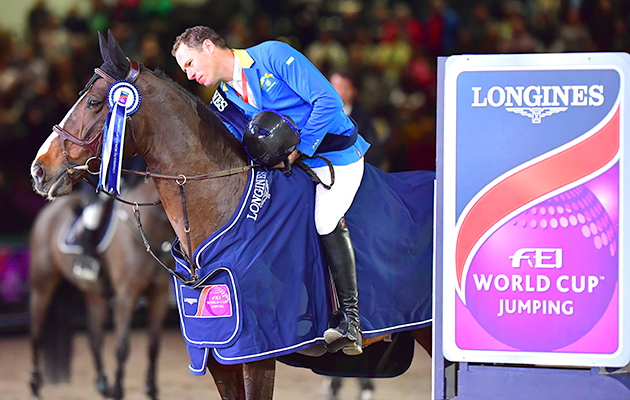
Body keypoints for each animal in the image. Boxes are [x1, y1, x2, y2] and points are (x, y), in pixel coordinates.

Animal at [27, 179, 175, 400]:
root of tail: (47, 212)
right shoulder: (126, 296)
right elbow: (122, 347)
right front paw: (119, 390)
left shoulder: (160, 294)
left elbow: (154, 345)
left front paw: (151, 389)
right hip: (42, 287)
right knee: (37, 331)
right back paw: (35, 384)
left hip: (95, 294)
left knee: (94, 335)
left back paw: (102, 384)